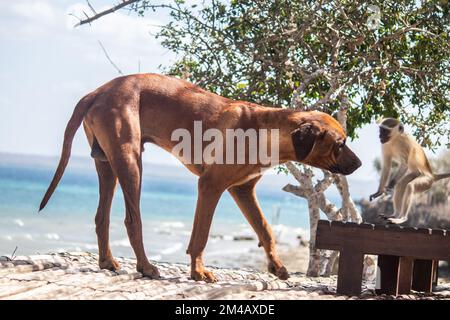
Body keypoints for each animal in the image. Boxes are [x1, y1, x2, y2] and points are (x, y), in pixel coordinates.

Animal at [39, 74, 362, 282]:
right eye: (340, 144)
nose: (359, 164)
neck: (268, 130)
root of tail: (97, 91)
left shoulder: (243, 190)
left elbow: (265, 230)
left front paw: (277, 267)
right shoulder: (211, 185)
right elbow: (201, 235)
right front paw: (198, 272)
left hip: (106, 164)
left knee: (101, 216)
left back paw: (107, 262)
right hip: (129, 160)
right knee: (132, 220)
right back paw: (146, 267)